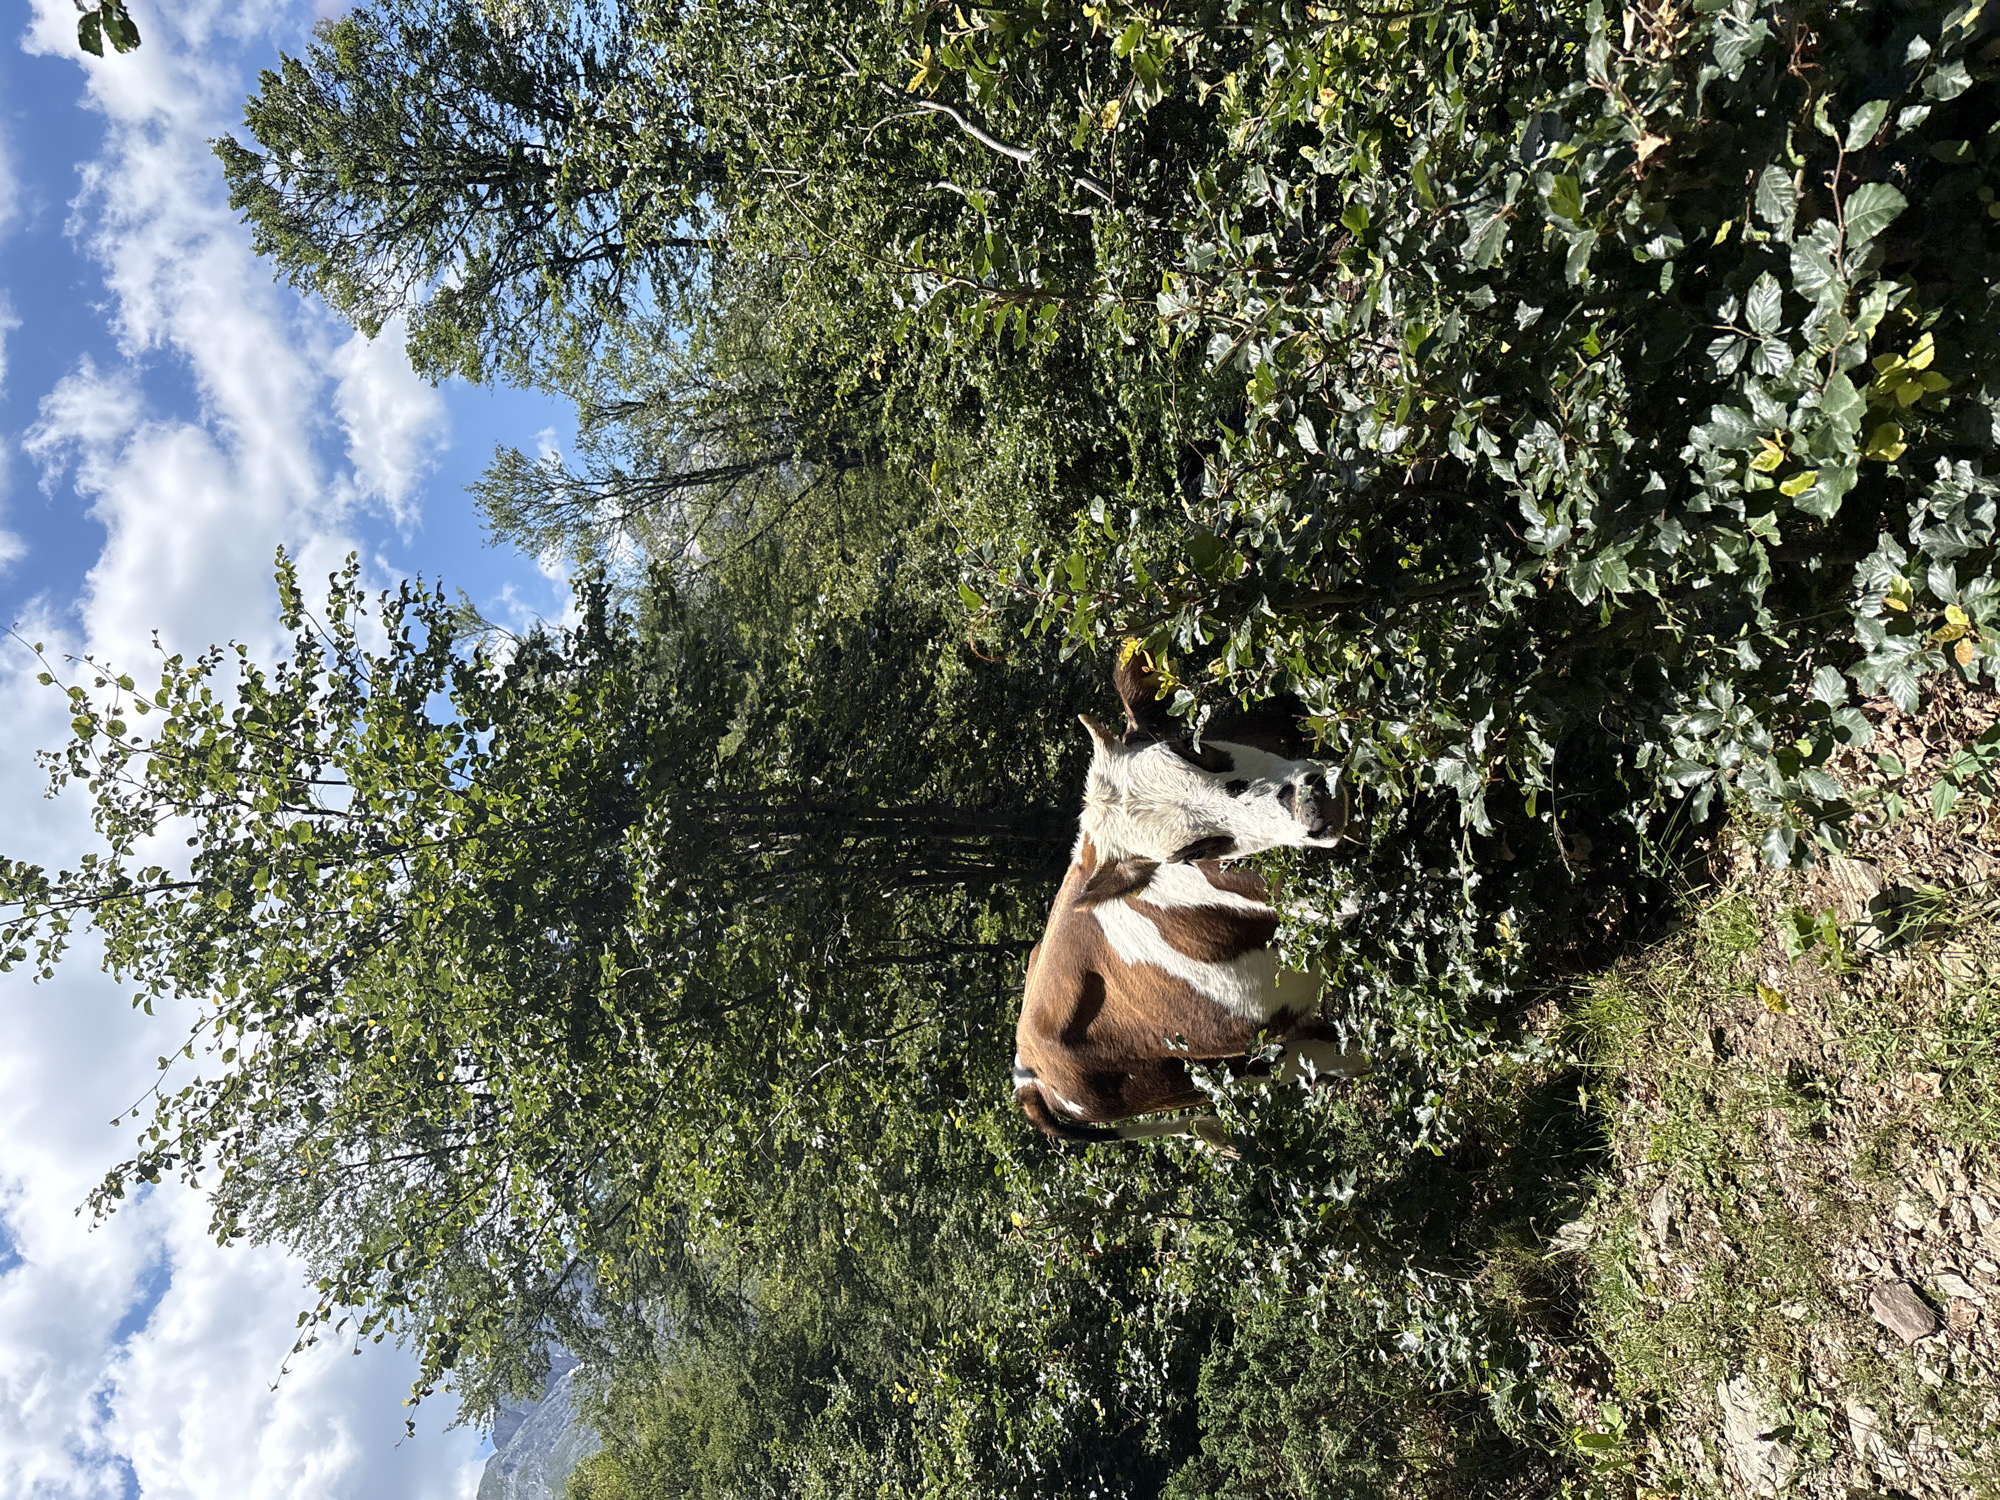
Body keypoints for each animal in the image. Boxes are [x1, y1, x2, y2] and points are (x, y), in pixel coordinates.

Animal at [1013, 656, 1365, 1145]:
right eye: (1193, 853)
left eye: (1189, 747)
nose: (1312, 807)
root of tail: (1029, 1071)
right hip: (1239, 1066)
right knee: (1344, 1056)